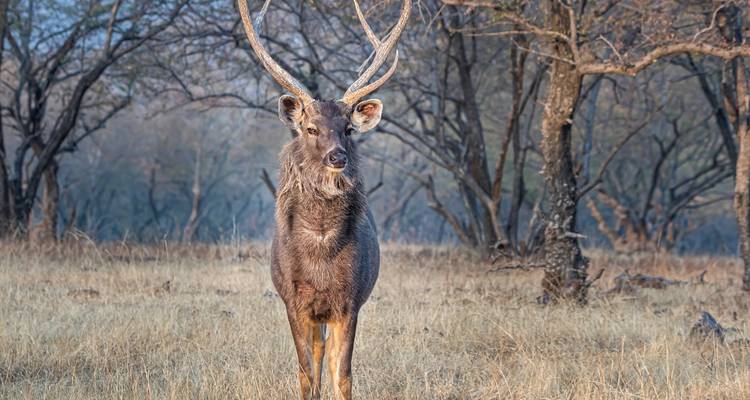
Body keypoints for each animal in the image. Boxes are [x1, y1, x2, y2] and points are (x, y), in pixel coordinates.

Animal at [236, 0, 410, 398]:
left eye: (348, 129)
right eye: (310, 128)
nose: (337, 156)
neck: (319, 254)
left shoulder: (349, 300)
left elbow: (342, 373)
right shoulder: (293, 300)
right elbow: (305, 373)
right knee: (315, 355)